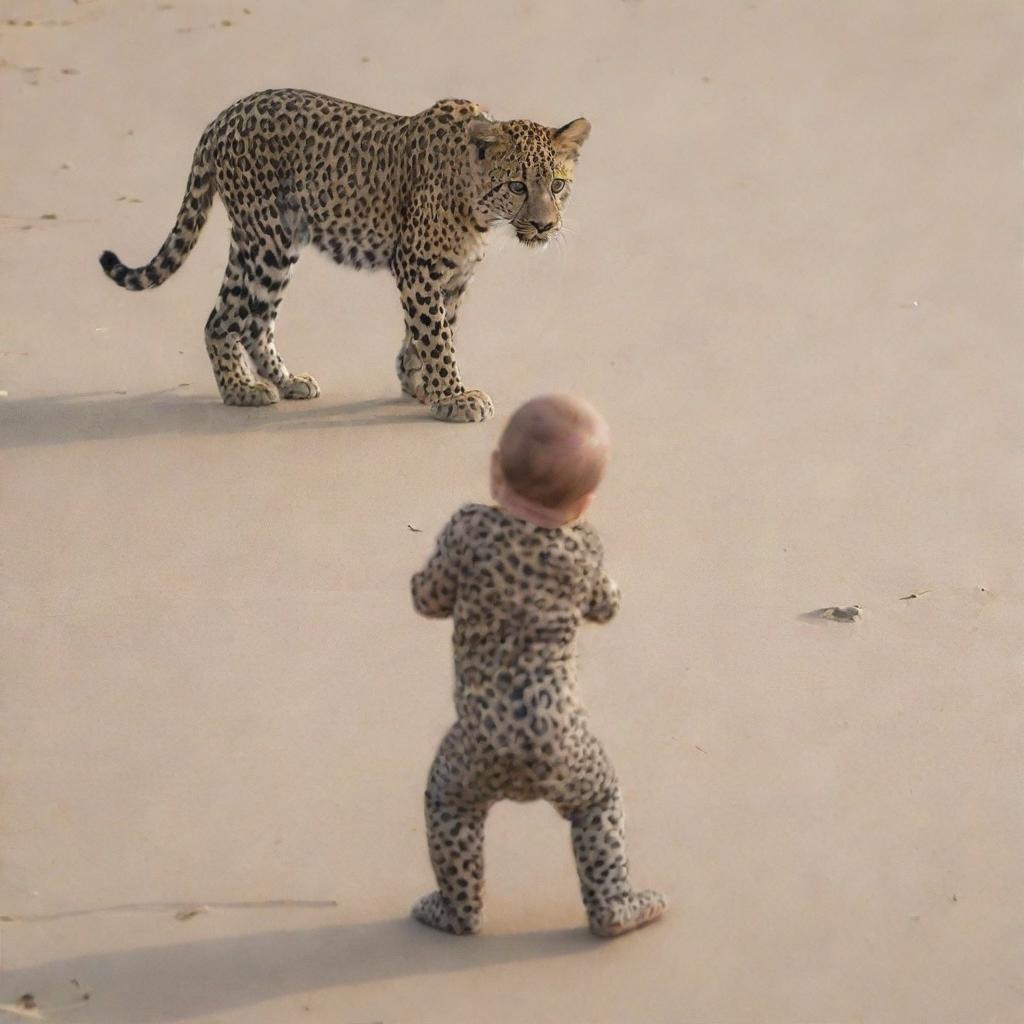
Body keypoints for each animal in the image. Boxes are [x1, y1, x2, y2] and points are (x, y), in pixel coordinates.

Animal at [98, 89, 590, 421]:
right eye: (517, 186)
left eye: (557, 185)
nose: (545, 225)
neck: (477, 203)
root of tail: (223, 116)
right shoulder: (416, 267)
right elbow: (436, 336)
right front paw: (453, 396)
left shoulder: (453, 276)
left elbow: (434, 328)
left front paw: (418, 383)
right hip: (268, 239)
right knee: (227, 318)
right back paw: (242, 391)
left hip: (268, 241)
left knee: (250, 319)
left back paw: (285, 382)